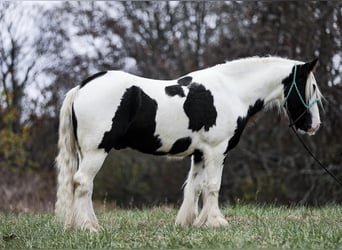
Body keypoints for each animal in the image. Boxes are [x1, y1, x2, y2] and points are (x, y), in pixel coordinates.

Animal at [54, 56, 322, 232]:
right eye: (311, 88)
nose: (314, 126)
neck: (232, 91)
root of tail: (81, 88)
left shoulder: (200, 153)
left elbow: (195, 187)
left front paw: (191, 222)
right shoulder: (217, 151)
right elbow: (213, 185)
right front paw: (216, 221)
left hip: (86, 153)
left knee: (81, 185)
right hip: (96, 151)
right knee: (83, 183)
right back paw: (89, 227)